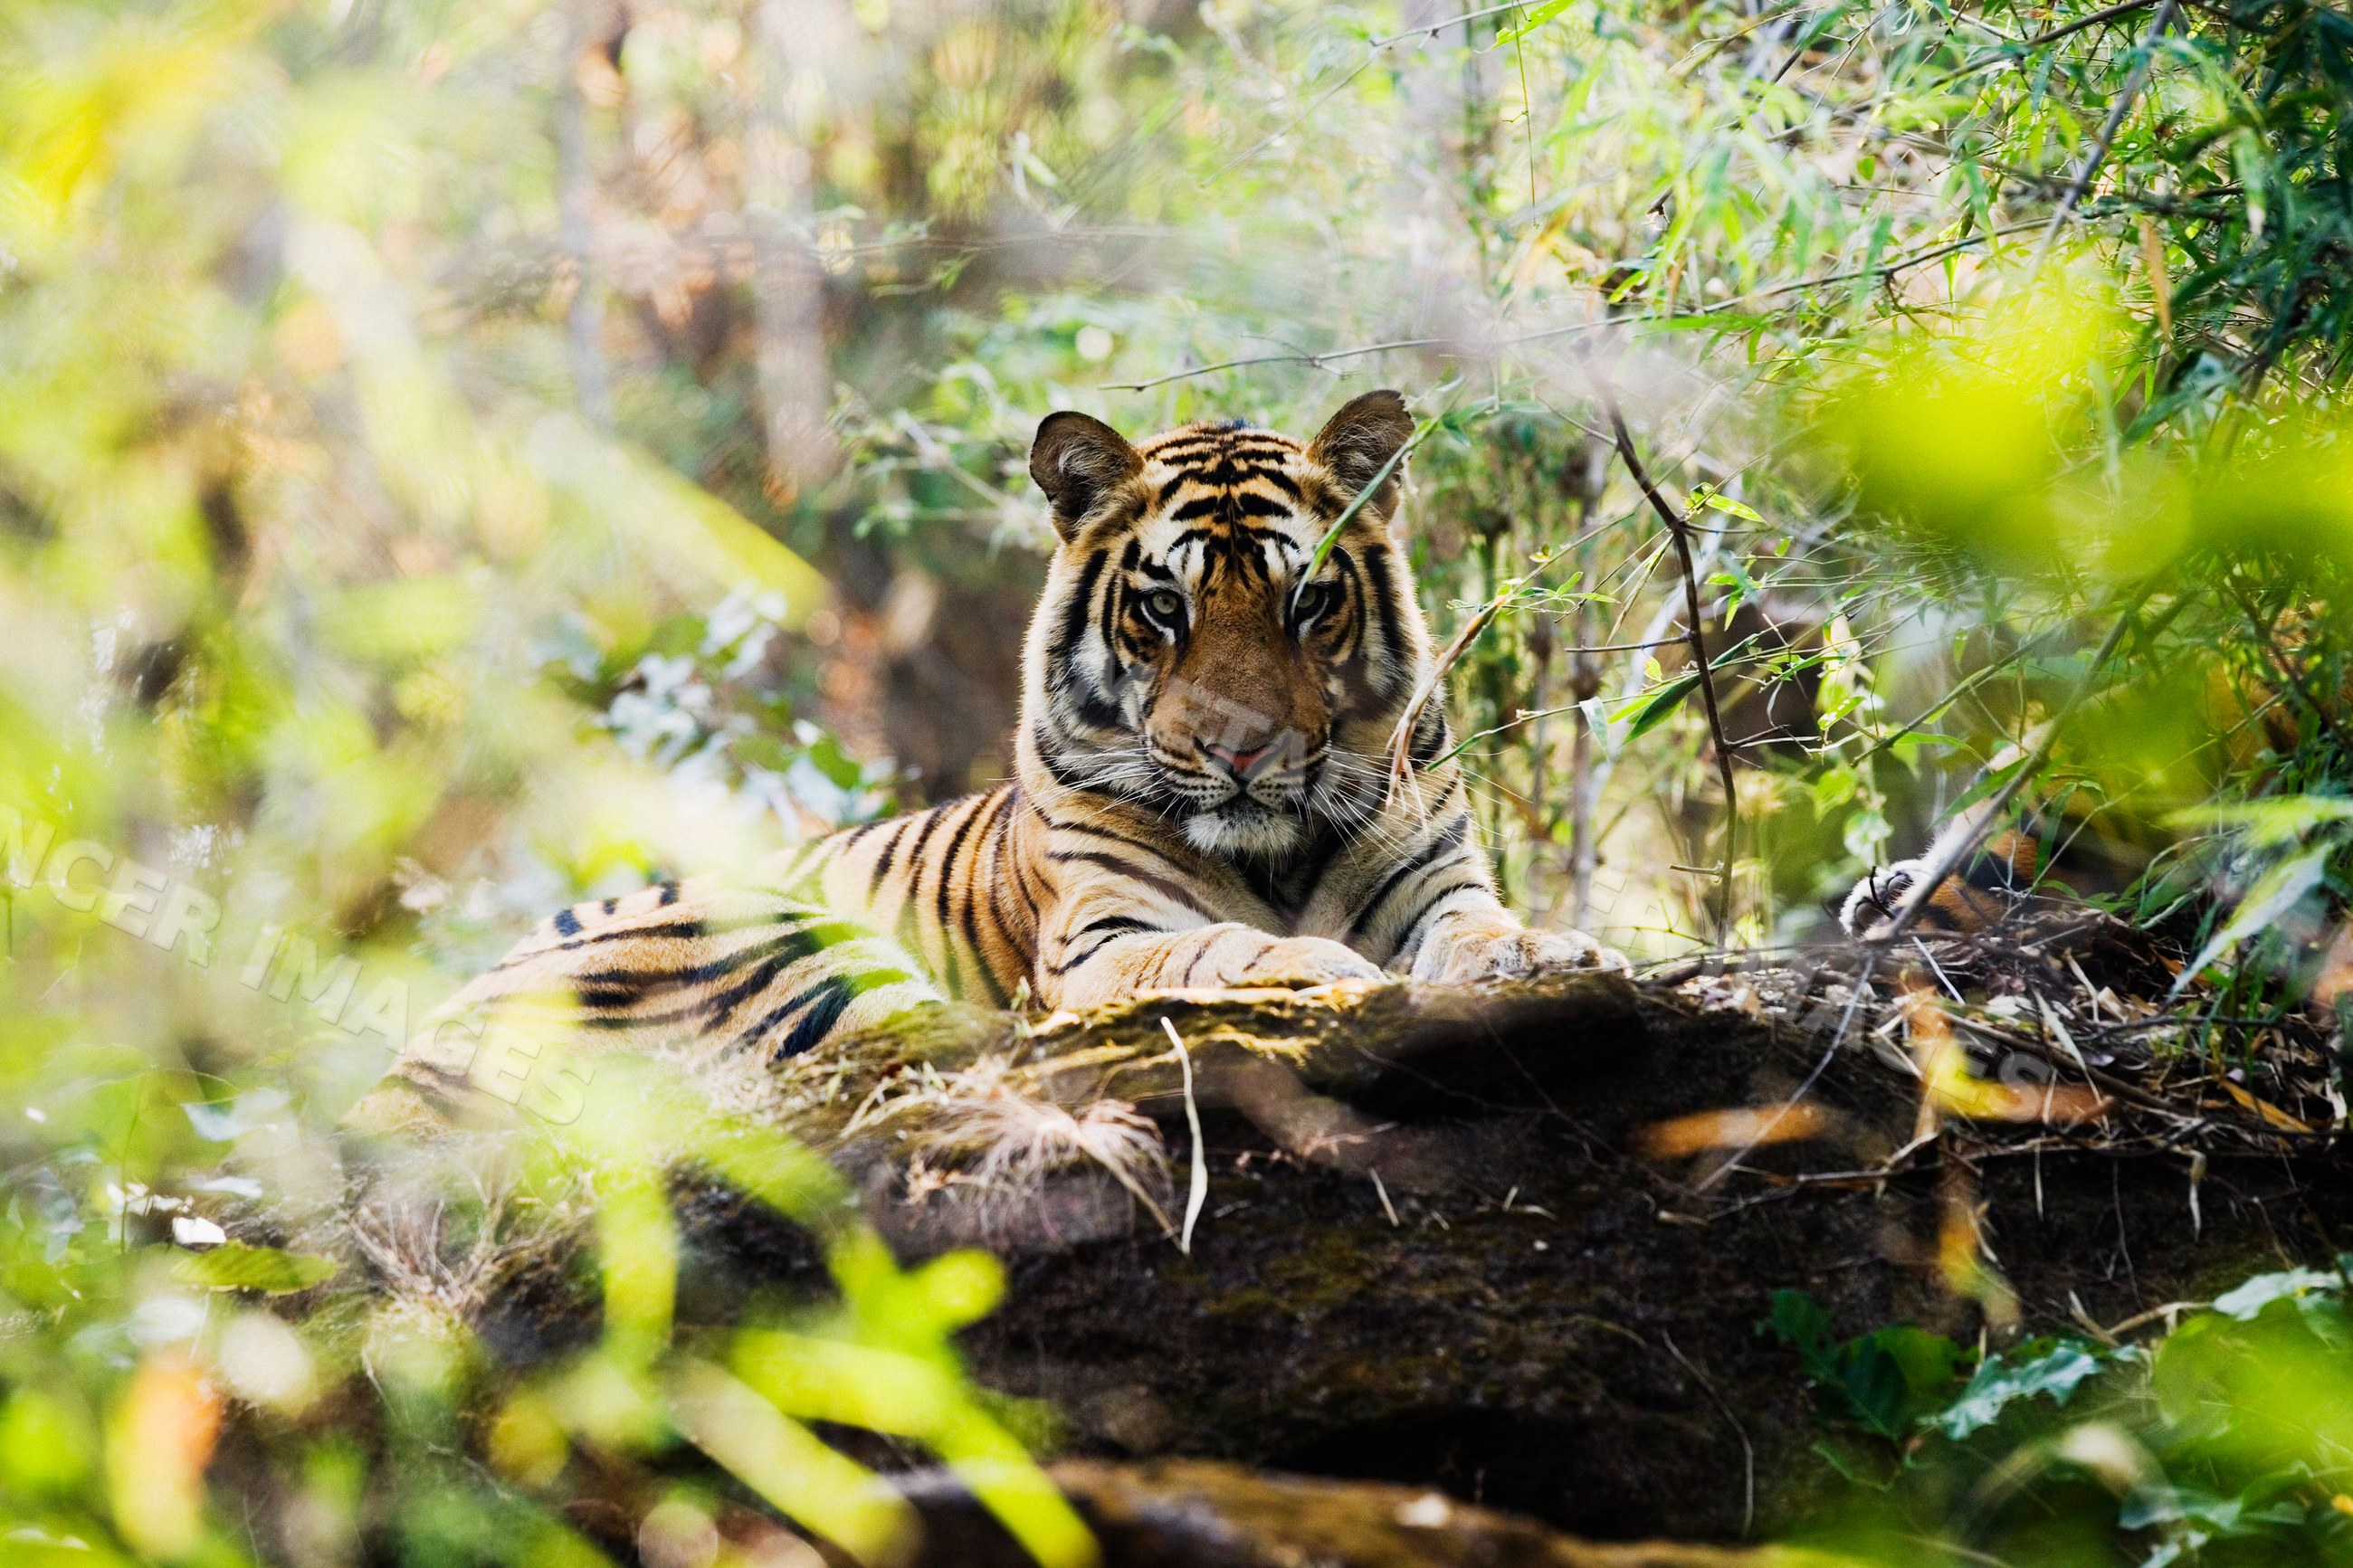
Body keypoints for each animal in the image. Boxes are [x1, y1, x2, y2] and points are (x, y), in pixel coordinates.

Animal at [350, 391, 1628, 1136]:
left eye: (1306, 602)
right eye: (1161, 608)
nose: (1240, 749)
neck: (1275, 850)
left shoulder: (1435, 883)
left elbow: (1479, 926)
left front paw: (1550, 951)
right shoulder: (1101, 936)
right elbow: (1210, 945)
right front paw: (1307, 966)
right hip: (761, 932)